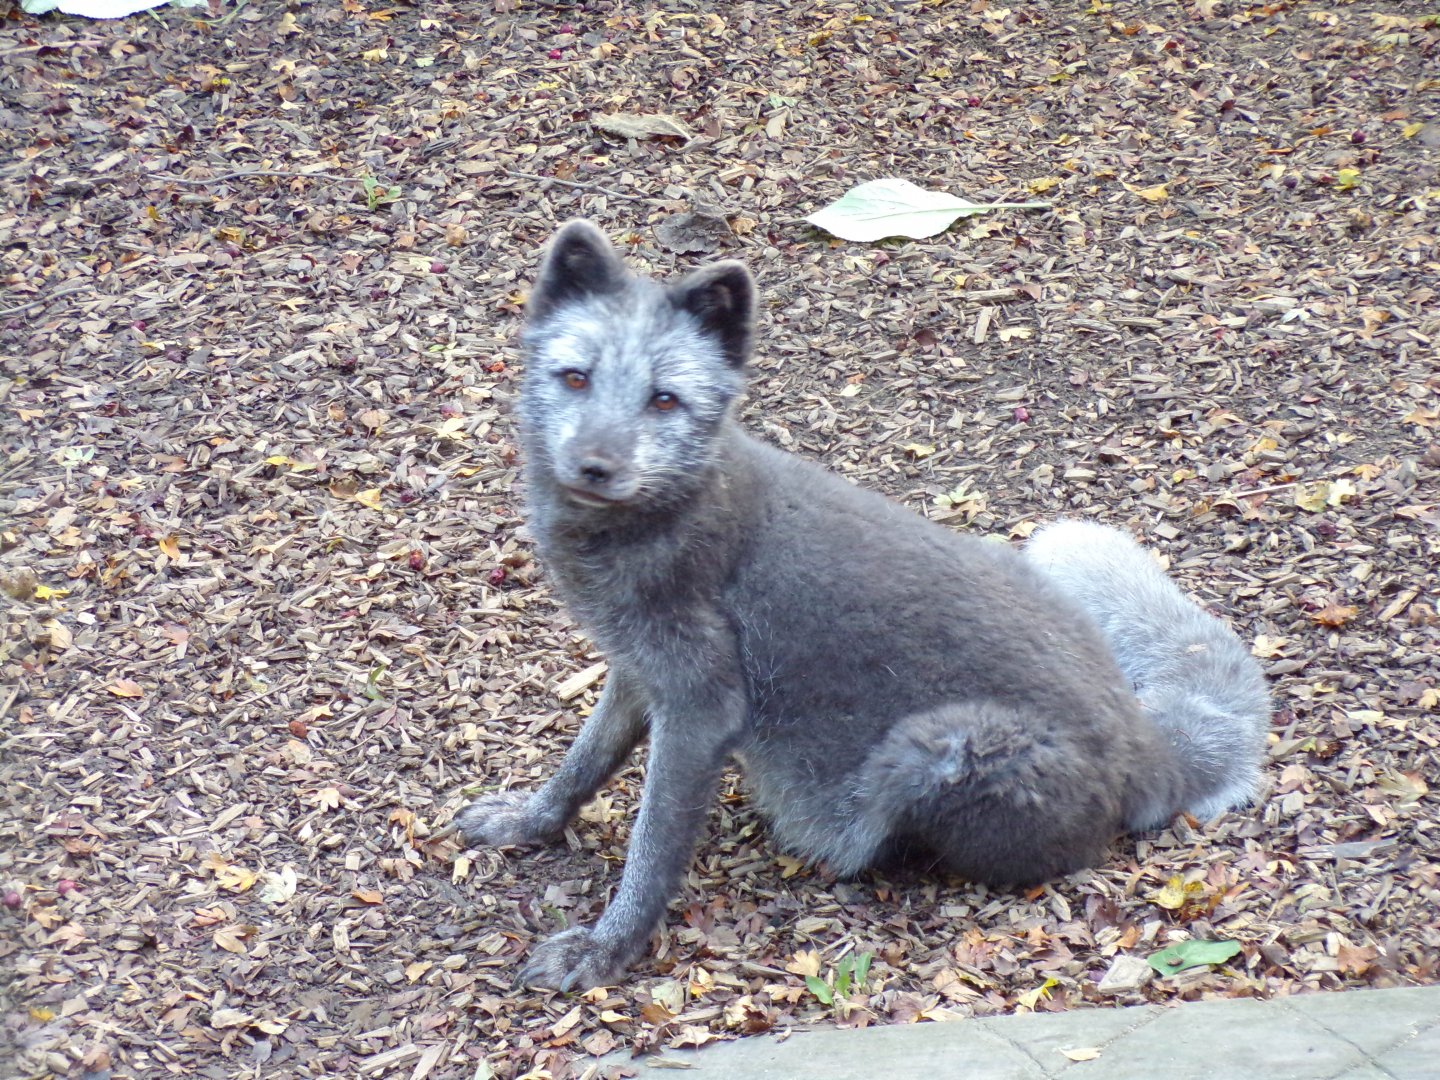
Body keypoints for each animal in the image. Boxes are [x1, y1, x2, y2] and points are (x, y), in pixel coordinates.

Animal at [454, 219, 1271, 990]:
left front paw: (607, 948)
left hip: (933, 748)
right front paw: (531, 822)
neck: (667, 520)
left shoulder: (700, 709)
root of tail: (1146, 743)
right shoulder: (638, 672)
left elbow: (652, 848)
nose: (597, 465)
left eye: (664, 399)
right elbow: (584, 761)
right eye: (575, 378)